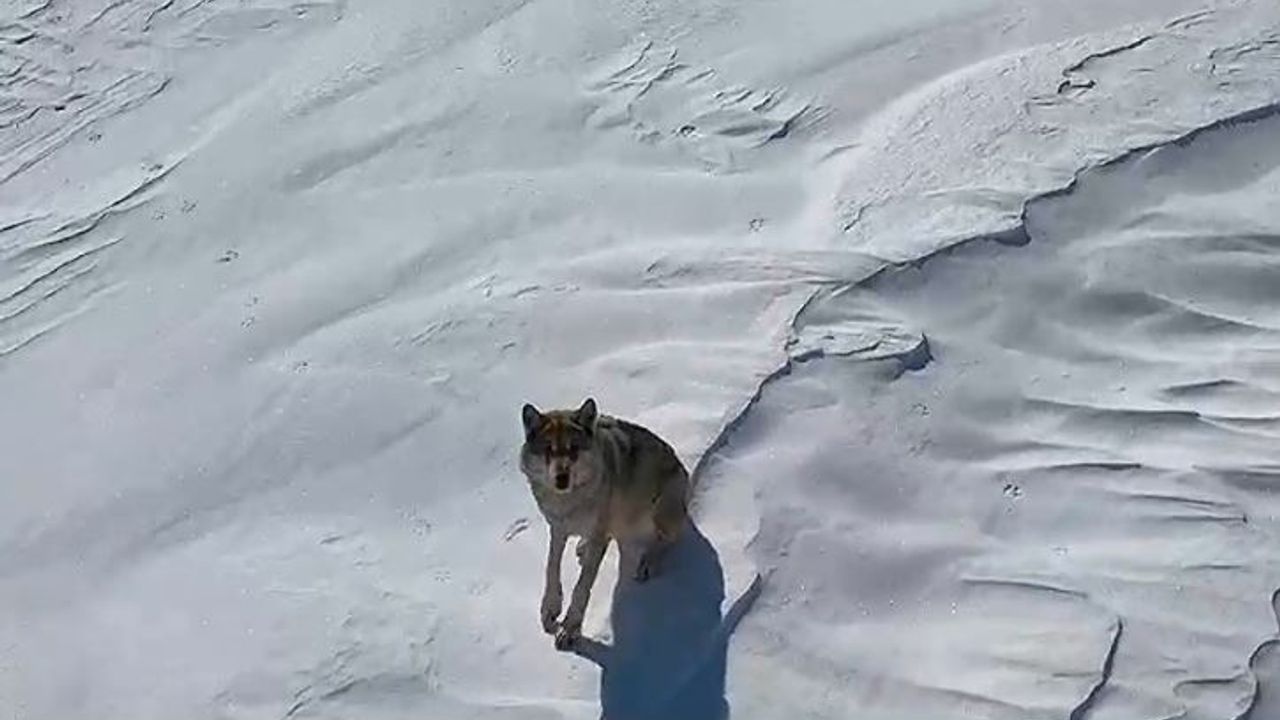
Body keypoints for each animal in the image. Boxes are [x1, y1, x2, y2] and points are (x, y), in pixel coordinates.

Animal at [519, 398, 690, 650]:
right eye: (549, 450)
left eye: (574, 449)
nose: (562, 479)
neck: (568, 502)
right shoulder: (558, 528)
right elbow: (551, 567)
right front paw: (550, 609)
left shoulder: (598, 534)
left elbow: (581, 588)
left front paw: (569, 630)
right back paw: (583, 545)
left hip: (662, 513)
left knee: (666, 540)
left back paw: (646, 563)